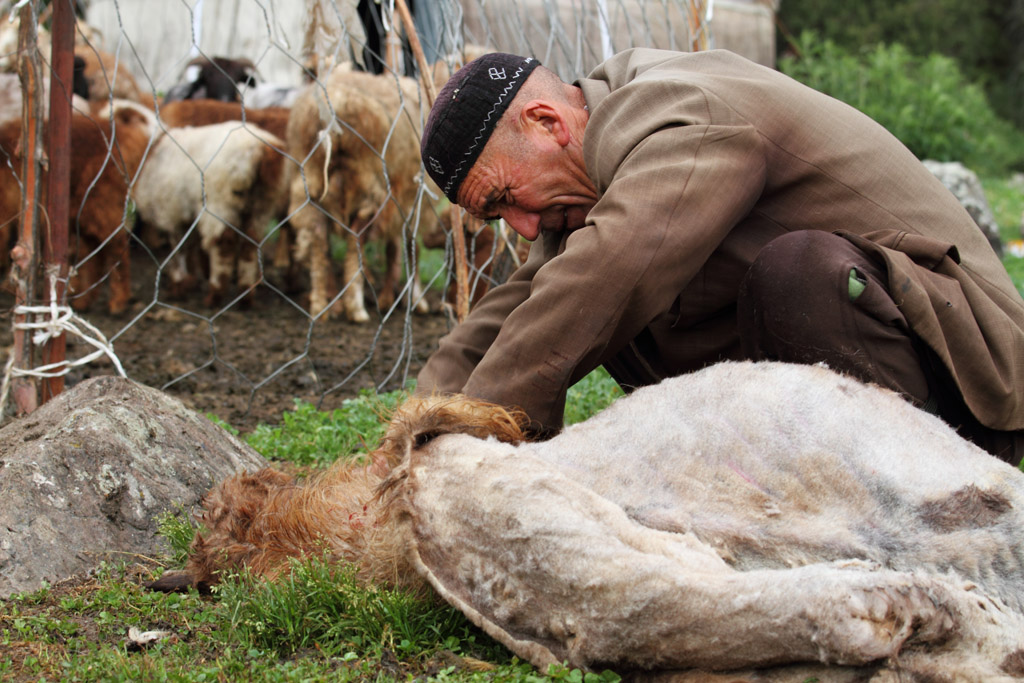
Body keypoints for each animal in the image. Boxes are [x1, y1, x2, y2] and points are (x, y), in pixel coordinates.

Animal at [132, 120, 290, 307]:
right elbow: (191, 246)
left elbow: (178, 250)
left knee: (223, 244)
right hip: (260, 207)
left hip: (221, 202)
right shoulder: (187, 215)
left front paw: (177, 286)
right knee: (250, 245)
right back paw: (245, 295)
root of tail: (261, 149)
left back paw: (215, 294)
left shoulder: (172, 213)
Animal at [284, 65, 432, 321]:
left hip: (311, 181)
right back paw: (355, 305)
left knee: (319, 239)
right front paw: (413, 299)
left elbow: (395, 246)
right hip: (368, 182)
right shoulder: (408, 200)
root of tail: (338, 102)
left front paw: (390, 296)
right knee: (356, 239)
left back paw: (323, 304)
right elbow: (408, 247)